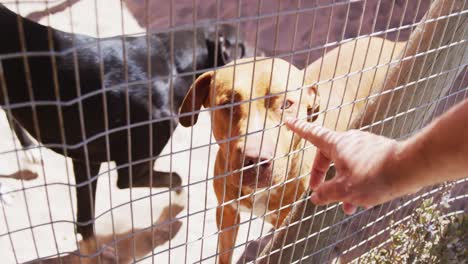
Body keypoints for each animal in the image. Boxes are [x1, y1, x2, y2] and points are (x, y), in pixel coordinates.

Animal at [0, 4, 250, 254]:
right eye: (244, 49)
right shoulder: (131, 173)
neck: (172, 64)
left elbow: (85, 220)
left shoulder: (86, 160)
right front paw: (180, 201)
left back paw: (30, 150)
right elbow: (175, 177)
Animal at [177, 58, 320, 264]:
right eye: (228, 105)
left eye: (286, 104)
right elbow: (224, 253)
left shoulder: (289, 223)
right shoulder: (227, 212)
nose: (256, 159)